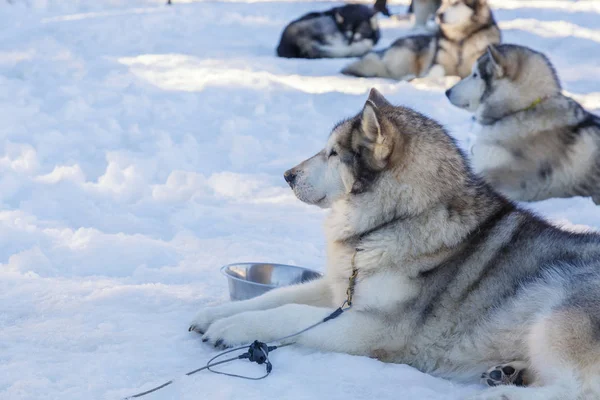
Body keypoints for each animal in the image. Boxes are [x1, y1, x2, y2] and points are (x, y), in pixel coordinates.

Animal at [190, 88, 600, 400]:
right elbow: (277, 297)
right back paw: (510, 372)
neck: (398, 218)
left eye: (333, 153)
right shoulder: (341, 288)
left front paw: (234, 327)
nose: (287, 175)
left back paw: (502, 393)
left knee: (576, 390)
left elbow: (288, 313)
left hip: (560, 310)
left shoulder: (373, 328)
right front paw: (217, 313)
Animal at [340, 0, 500, 80]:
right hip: (405, 58)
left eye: (455, 3)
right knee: (384, 70)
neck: (460, 40)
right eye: (443, 2)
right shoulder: (437, 63)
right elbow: (437, 70)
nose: (439, 14)